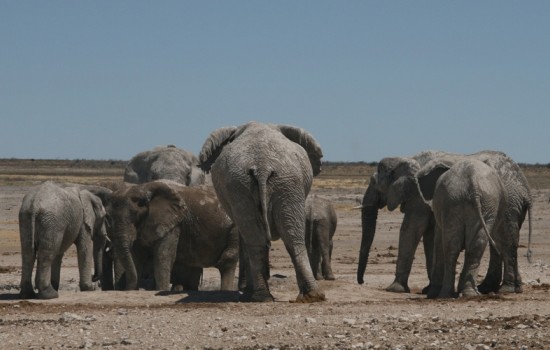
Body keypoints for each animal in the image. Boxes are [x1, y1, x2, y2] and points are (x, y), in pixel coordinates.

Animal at [358, 150, 536, 296]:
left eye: (373, 182)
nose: (361, 282)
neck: (406, 159)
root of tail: (525, 188)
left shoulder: (417, 196)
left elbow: (411, 229)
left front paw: (395, 289)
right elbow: (429, 236)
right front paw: (428, 289)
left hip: (508, 205)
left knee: (504, 242)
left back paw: (504, 289)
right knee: (497, 242)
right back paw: (499, 288)